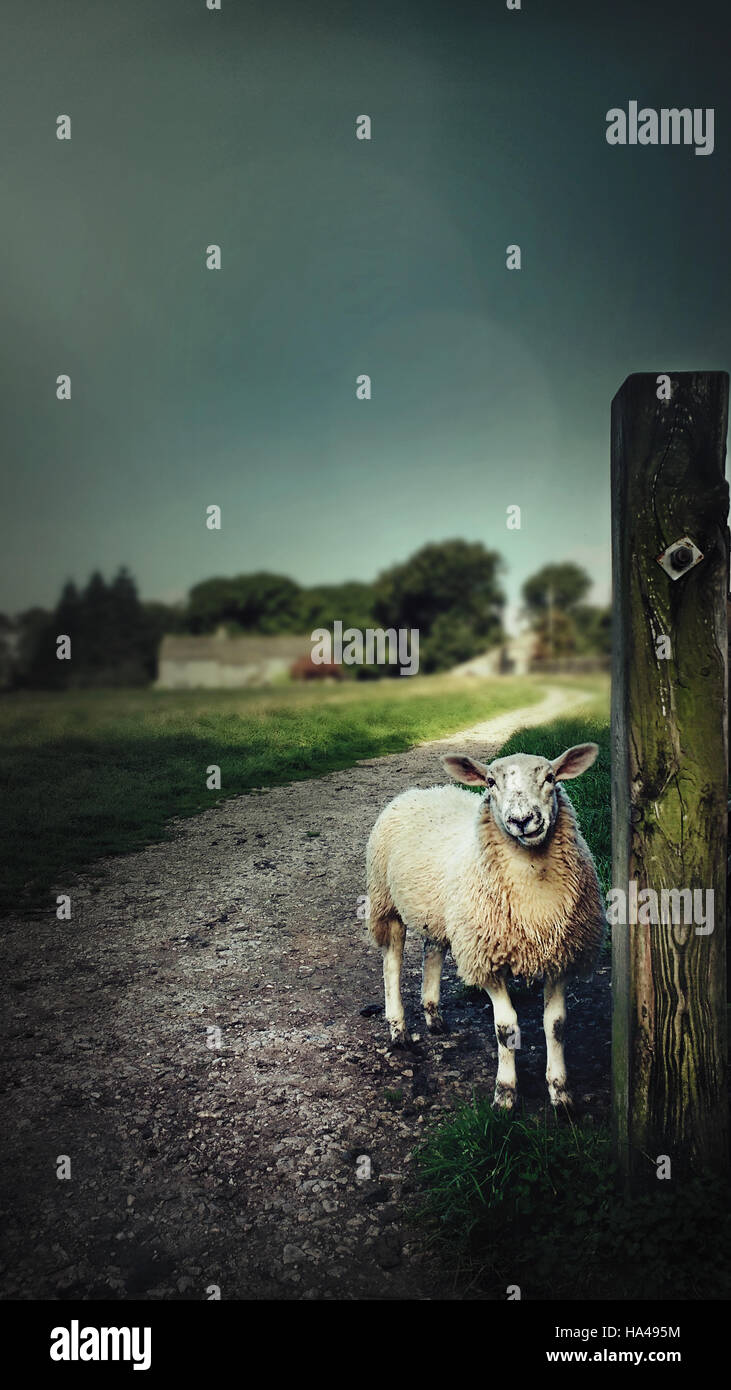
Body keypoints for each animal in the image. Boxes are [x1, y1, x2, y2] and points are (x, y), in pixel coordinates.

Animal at [365, 742, 605, 1109]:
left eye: (551, 777)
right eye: (490, 782)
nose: (522, 820)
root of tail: (419, 792)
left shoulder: (561, 956)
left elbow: (556, 1025)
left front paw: (560, 1092)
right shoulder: (487, 960)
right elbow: (505, 1028)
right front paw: (505, 1094)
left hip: (442, 913)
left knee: (432, 950)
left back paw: (433, 1016)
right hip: (385, 901)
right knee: (391, 962)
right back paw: (398, 1029)